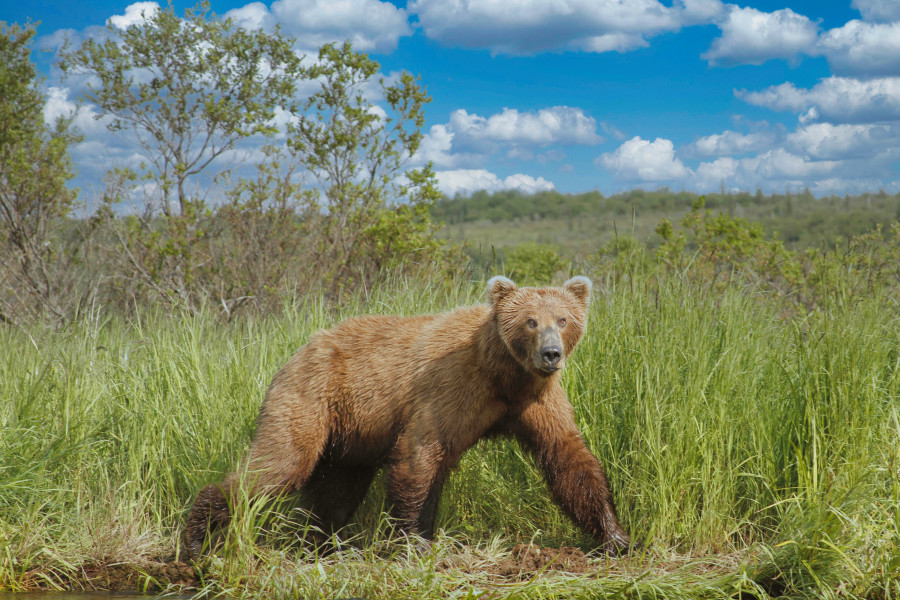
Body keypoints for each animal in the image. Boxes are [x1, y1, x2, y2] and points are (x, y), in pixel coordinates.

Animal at [185, 276, 632, 556]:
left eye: (563, 319)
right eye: (530, 321)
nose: (551, 354)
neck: (504, 374)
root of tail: (295, 353)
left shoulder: (538, 400)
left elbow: (568, 457)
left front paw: (616, 536)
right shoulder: (449, 388)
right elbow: (420, 455)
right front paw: (415, 539)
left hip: (352, 435)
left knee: (336, 490)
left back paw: (323, 542)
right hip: (311, 400)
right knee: (279, 463)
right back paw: (197, 533)